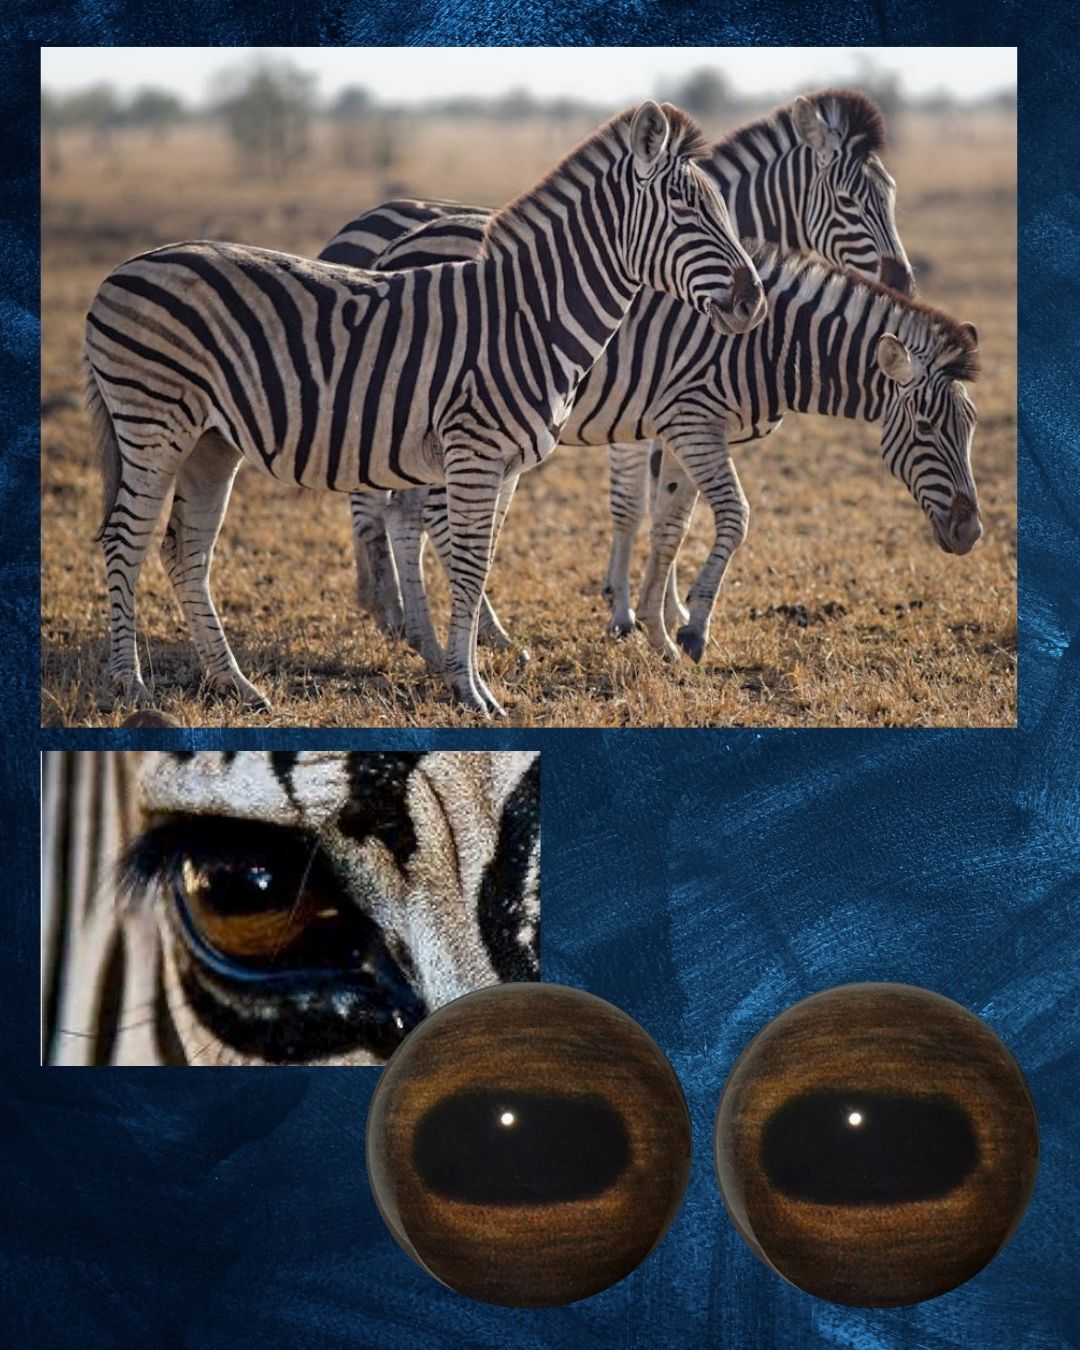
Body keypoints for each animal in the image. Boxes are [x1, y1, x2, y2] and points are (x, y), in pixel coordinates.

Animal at [84, 102, 765, 718]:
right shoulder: (475, 451)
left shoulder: (504, 465)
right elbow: (466, 565)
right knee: (126, 539)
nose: (753, 302)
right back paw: (132, 687)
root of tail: (122, 270)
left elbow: (480, 563)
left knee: (185, 550)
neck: (531, 317)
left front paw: (467, 673)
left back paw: (235, 685)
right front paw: (470, 691)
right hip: (153, 423)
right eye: (684, 208)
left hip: (210, 441)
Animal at [327, 89, 916, 651]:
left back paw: (391, 609)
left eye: (892, 194)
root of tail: (387, 242)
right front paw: (632, 614)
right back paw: (409, 613)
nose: (904, 284)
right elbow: (636, 508)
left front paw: (663, 610)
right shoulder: (652, 408)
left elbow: (666, 509)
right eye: (847, 201)